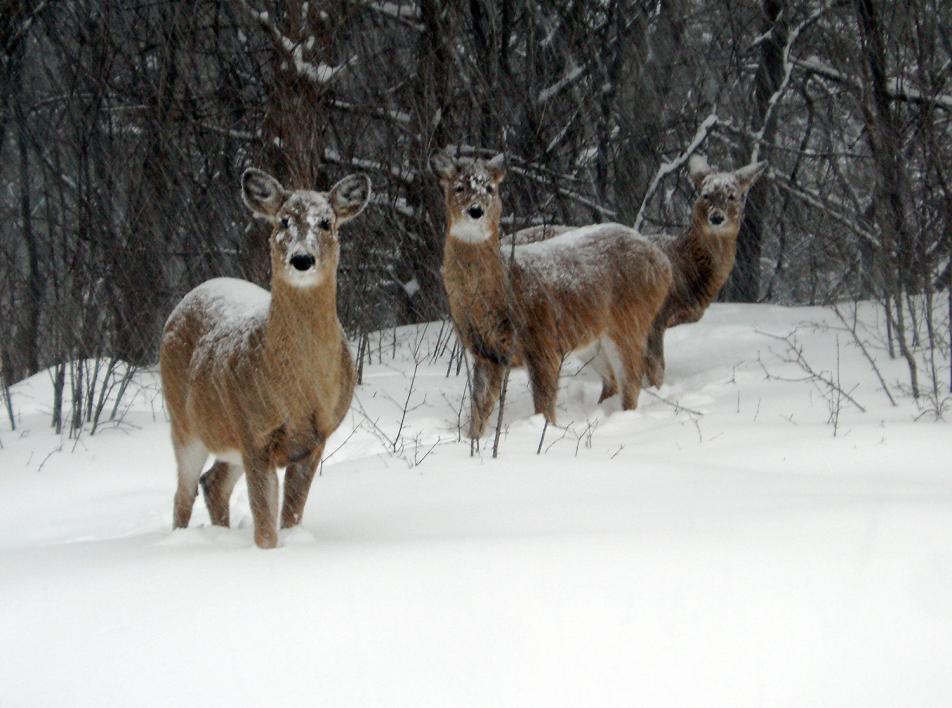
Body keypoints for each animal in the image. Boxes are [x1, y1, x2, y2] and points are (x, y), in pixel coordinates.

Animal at [160, 167, 370, 549]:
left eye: (326, 222)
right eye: (283, 220)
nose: (302, 259)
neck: (300, 393)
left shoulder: (315, 440)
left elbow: (291, 518)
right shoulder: (254, 433)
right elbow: (265, 530)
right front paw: (268, 553)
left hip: (227, 435)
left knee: (213, 483)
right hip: (184, 422)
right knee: (183, 495)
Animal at [431, 150, 673, 439]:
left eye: (490, 188)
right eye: (458, 187)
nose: (476, 210)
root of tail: (662, 262)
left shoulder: (542, 341)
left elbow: (544, 409)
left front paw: (541, 432)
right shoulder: (487, 354)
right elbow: (478, 412)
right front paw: (472, 441)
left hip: (628, 321)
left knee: (633, 381)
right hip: (590, 339)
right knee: (614, 380)